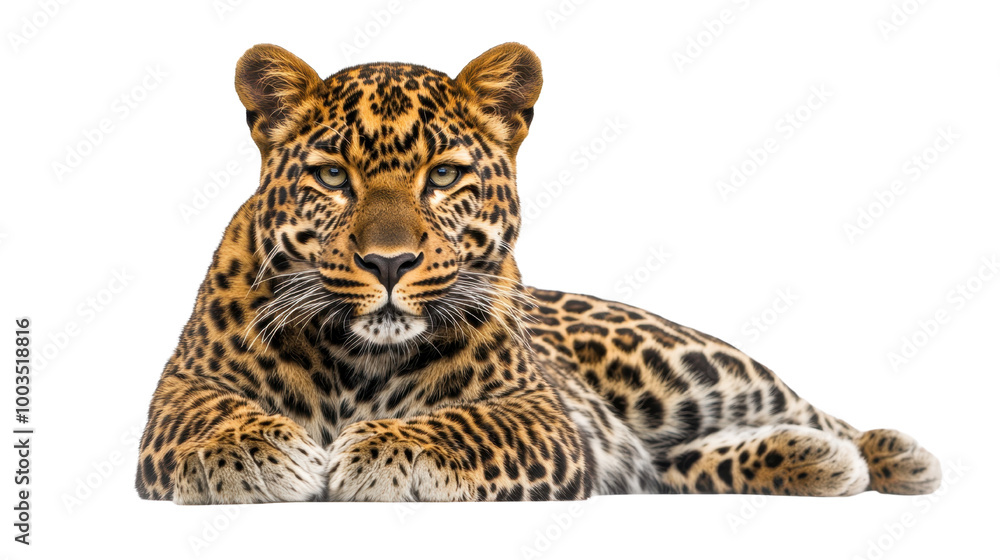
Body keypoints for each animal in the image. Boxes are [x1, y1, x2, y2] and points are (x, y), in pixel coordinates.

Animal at [135, 43, 941, 503]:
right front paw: (253, 449)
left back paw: (893, 456)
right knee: (676, 464)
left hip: (682, 365)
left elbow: (460, 423)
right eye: (333, 176)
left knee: (806, 407)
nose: (389, 263)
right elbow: (207, 415)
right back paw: (820, 463)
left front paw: (380, 448)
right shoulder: (177, 392)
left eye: (444, 175)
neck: (358, 356)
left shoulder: (537, 411)